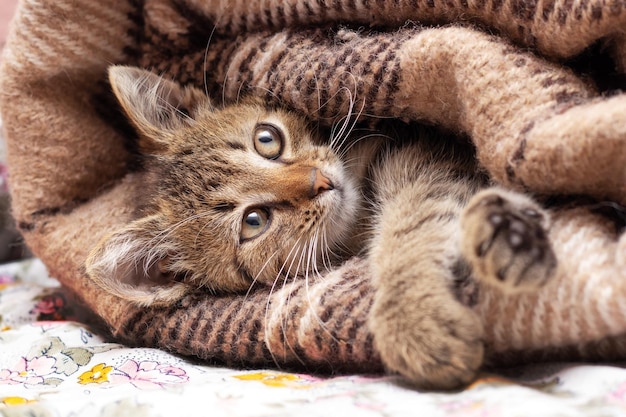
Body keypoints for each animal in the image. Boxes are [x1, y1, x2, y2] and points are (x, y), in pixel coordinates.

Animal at [84, 66, 556, 388]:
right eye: (253, 221)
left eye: (267, 139)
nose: (320, 182)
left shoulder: (421, 155)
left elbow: (412, 224)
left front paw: (413, 317)